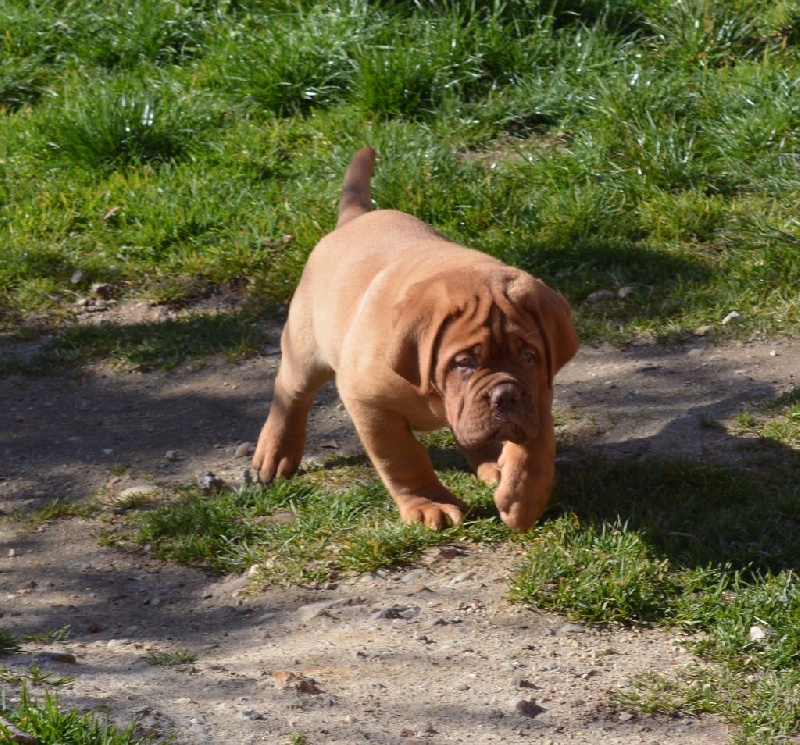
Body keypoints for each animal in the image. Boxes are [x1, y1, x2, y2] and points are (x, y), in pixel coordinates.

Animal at [255, 147, 576, 528]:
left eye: (529, 356)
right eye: (463, 363)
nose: (505, 396)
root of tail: (353, 219)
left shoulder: (537, 393)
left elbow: (536, 448)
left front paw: (523, 498)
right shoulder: (370, 405)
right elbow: (402, 457)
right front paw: (429, 504)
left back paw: (494, 463)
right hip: (305, 351)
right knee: (290, 396)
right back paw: (275, 454)